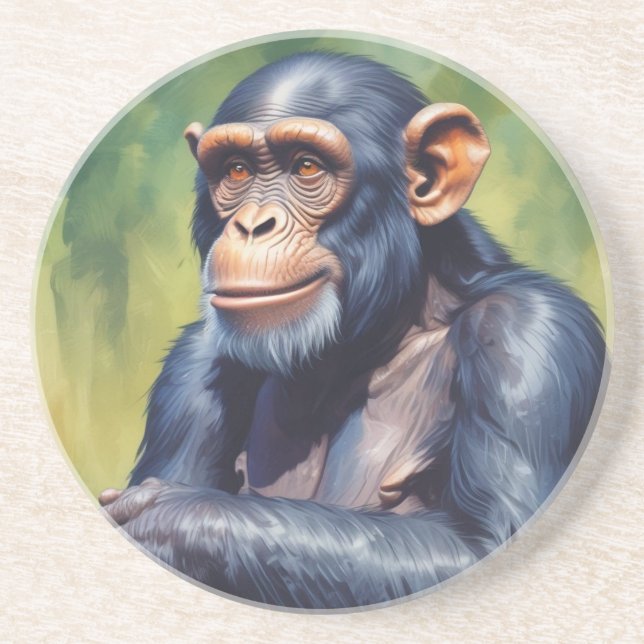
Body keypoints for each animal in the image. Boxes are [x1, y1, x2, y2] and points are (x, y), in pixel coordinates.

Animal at [99, 52, 605, 609]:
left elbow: (484, 540)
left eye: (306, 166)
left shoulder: (528, 333)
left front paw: (173, 518)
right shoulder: (191, 364)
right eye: (236, 170)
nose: (252, 225)